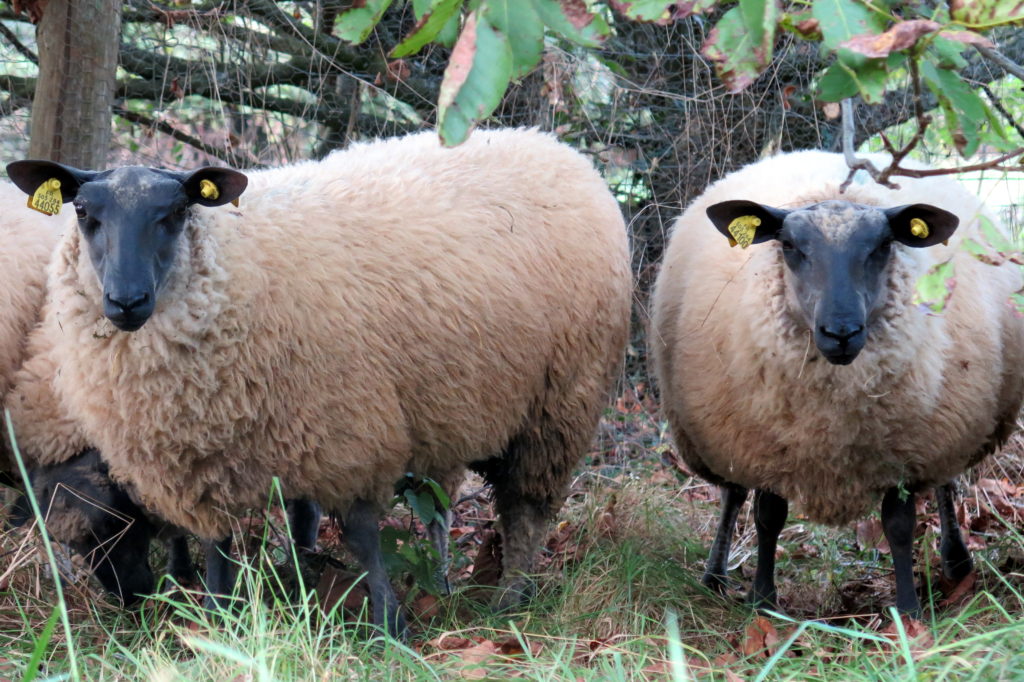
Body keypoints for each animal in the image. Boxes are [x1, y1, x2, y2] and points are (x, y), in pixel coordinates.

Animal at [6, 127, 632, 635]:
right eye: (84, 213)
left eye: (175, 213)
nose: (126, 301)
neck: (232, 263)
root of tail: (556, 147)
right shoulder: (208, 450)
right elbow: (223, 540)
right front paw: (222, 616)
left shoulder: (346, 428)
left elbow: (360, 533)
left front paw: (387, 626)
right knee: (442, 504)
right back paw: (448, 586)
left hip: (560, 402)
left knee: (527, 507)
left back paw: (510, 600)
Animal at [650, 150, 1024, 616]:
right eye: (789, 246)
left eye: (883, 246)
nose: (841, 331)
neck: (833, 415)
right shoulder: (767, 445)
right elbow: (768, 516)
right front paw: (763, 600)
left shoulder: (904, 451)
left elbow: (899, 525)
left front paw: (908, 610)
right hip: (721, 427)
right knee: (733, 493)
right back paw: (714, 576)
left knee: (945, 483)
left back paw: (957, 564)